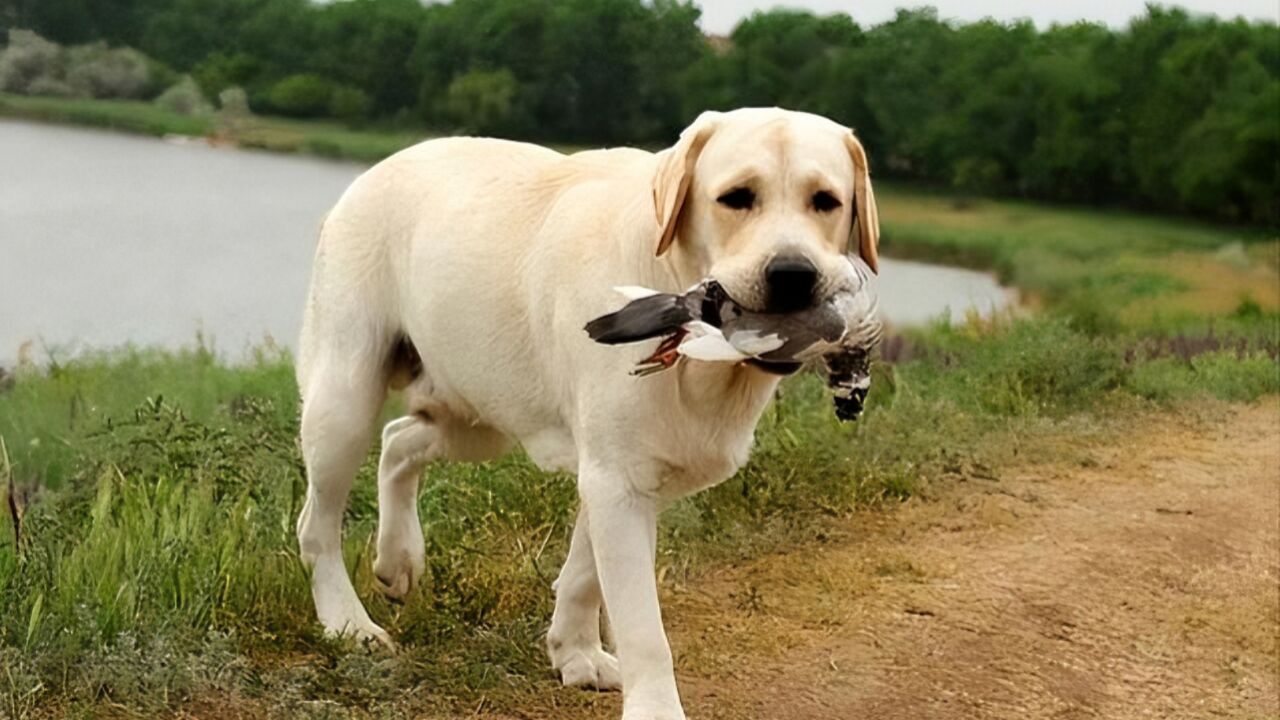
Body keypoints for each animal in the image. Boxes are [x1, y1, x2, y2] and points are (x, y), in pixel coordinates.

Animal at [296, 103, 880, 712]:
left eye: (826, 200)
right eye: (737, 197)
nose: (792, 275)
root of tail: (379, 166)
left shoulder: (624, 472)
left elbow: (585, 572)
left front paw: (575, 652)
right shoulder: (618, 476)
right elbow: (642, 624)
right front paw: (654, 707)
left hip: (479, 418)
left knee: (399, 441)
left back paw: (398, 560)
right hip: (344, 398)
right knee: (318, 524)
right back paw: (348, 621)